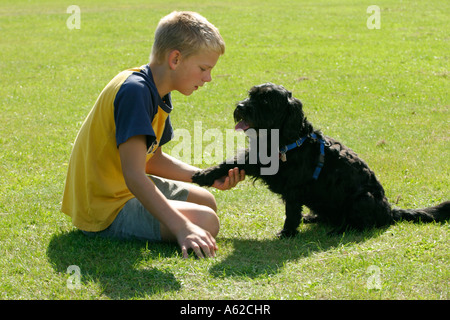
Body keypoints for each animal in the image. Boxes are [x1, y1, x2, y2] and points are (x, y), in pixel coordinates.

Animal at [192, 83, 448, 238]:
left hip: (363, 198)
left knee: (360, 224)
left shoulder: (293, 187)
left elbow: (291, 212)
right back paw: (315, 218)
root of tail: (389, 210)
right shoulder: (260, 159)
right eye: (251, 94)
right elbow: (231, 161)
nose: (240, 107)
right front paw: (204, 175)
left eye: (265, 102)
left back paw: (339, 230)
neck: (288, 139)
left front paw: (287, 233)